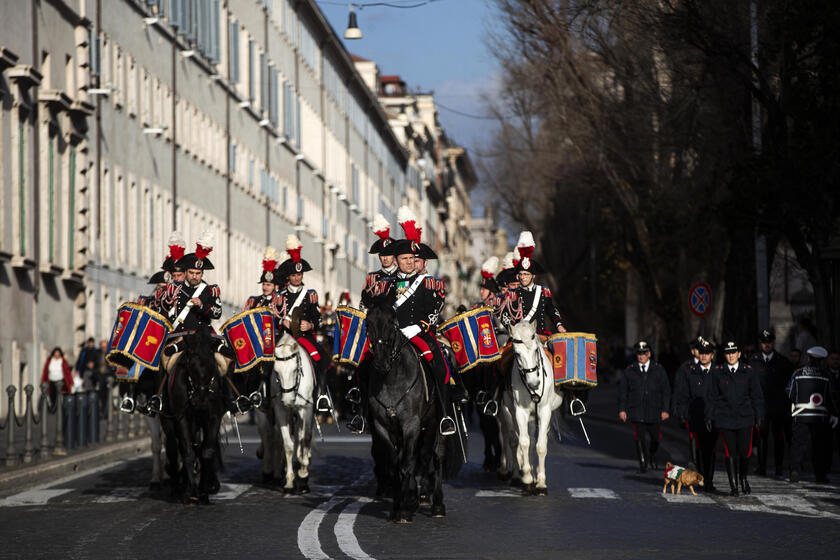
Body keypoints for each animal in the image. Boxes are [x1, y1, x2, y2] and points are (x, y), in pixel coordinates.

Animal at [165, 324, 228, 504]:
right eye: (191, 367)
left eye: (212, 366)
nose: (200, 401)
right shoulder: (181, 417)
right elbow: (188, 451)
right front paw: (190, 491)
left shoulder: (214, 417)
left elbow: (207, 451)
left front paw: (204, 489)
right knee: (179, 447)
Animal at [266, 330, 316, 492]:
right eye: (276, 371)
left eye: (295, 370)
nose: (288, 400)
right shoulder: (280, 409)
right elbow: (288, 444)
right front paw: (289, 480)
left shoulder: (306, 407)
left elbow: (306, 437)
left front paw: (303, 472)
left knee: (303, 435)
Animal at [366, 298, 462, 524]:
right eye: (368, 324)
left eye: (392, 323)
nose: (381, 363)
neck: (391, 379)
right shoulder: (382, 427)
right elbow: (394, 466)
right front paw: (398, 506)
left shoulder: (411, 425)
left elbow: (408, 464)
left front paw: (404, 509)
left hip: (437, 424)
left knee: (434, 458)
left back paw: (436, 504)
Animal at [502, 320, 560, 494]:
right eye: (517, 353)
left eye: (535, 350)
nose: (534, 383)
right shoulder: (520, 412)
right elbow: (523, 442)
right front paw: (527, 478)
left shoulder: (545, 411)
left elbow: (540, 446)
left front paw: (541, 483)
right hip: (509, 411)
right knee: (514, 440)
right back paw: (517, 476)